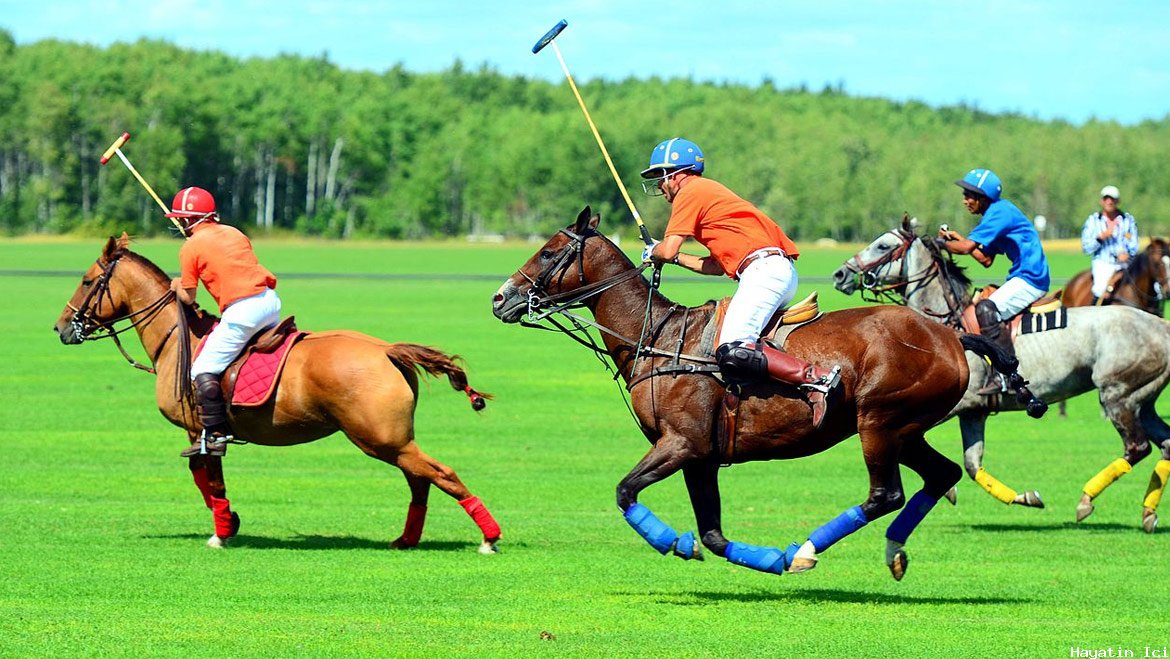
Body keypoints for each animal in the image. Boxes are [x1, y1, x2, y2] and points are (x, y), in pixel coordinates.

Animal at [52, 234, 500, 554]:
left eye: (87, 281)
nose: (61, 329)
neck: (177, 337)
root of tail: (387, 349)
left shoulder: (203, 428)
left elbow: (210, 477)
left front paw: (221, 532)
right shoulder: (199, 432)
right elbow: (203, 475)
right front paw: (230, 521)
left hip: (379, 437)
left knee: (441, 474)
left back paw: (489, 537)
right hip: (392, 439)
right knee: (420, 480)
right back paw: (407, 539)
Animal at [491, 208, 1015, 580]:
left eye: (549, 251)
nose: (500, 299)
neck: (659, 338)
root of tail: (952, 337)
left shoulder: (681, 443)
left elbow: (625, 491)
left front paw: (671, 542)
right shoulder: (700, 455)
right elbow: (712, 534)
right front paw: (742, 554)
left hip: (880, 422)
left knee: (885, 493)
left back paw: (806, 550)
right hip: (906, 430)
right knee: (942, 474)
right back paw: (893, 551)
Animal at [833, 218, 1170, 533]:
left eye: (883, 245)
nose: (840, 274)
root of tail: (1161, 326)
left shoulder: (949, 405)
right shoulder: (973, 412)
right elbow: (973, 465)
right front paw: (1025, 497)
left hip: (1116, 395)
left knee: (1137, 447)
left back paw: (1086, 500)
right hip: (1142, 400)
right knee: (1165, 443)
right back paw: (1148, 513)